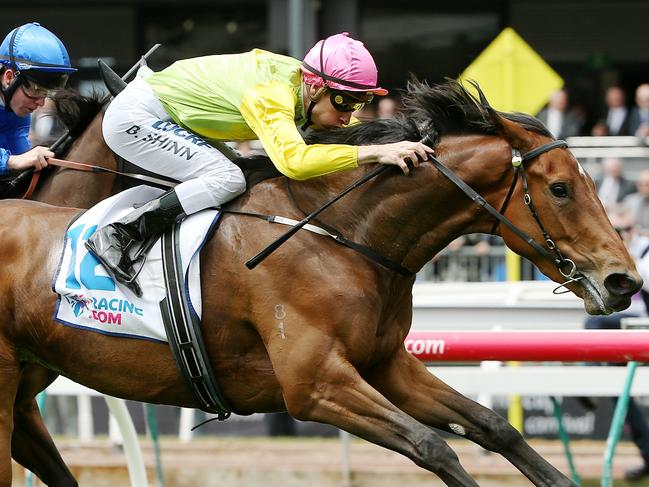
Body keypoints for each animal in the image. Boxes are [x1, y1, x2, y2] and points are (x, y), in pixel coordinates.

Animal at [0, 78, 636, 486]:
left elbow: (495, 427)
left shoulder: (385, 365)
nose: (623, 281)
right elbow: (434, 446)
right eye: (560, 188)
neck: (344, 235)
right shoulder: (315, 383)